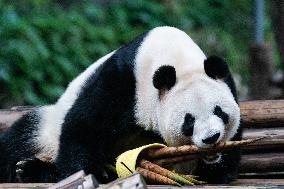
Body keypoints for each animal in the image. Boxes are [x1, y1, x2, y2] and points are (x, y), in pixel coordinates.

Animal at [0, 25, 242, 184]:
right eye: (188, 121)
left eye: (219, 112)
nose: (211, 138)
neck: (177, 61)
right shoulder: (125, 81)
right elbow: (84, 126)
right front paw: (92, 173)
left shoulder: (226, 81)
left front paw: (217, 168)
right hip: (47, 127)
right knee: (18, 140)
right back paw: (27, 170)